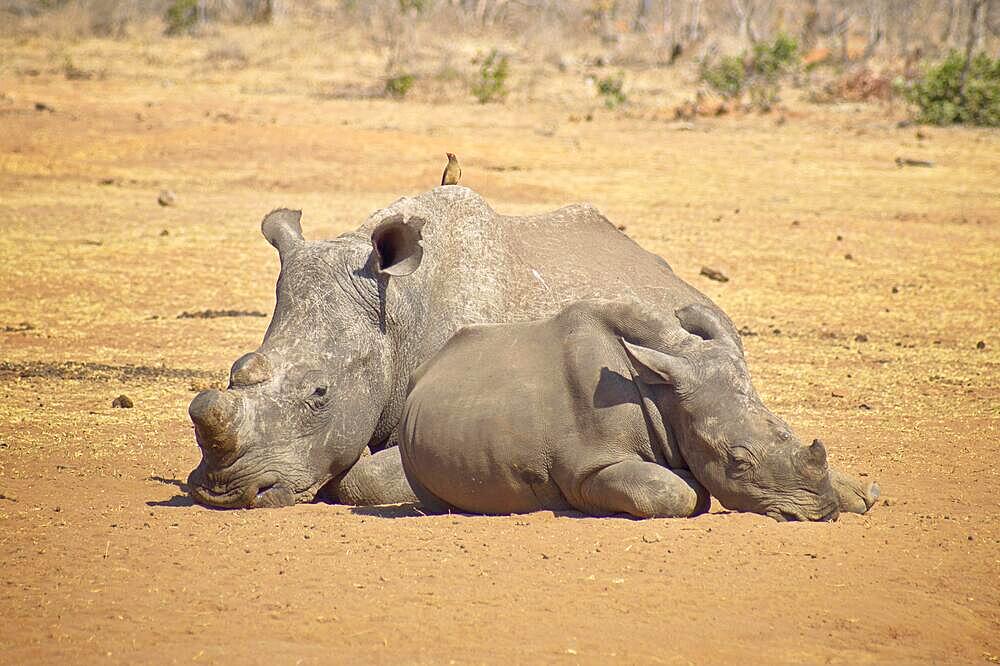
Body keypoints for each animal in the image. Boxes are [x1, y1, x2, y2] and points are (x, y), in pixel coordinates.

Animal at [396, 296, 876, 520]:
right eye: (738, 462)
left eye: (785, 428)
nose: (822, 514)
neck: (665, 396)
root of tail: (426, 370)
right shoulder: (591, 466)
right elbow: (673, 491)